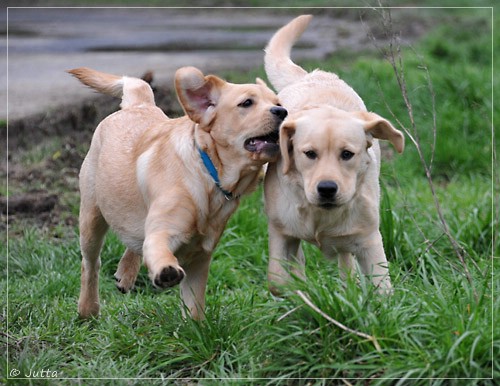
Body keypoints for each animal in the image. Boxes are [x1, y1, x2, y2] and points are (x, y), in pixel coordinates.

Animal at [71, 67, 290, 320]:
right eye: (246, 103)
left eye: (278, 102)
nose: (282, 111)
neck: (207, 173)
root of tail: (139, 104)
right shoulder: (164, 231)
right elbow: (157, 249)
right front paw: (166, 270)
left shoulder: (199, 257)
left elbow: (194, 307)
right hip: (91, 217)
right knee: (91, 263)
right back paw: (88, 309)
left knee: (135, 239)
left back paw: (126, 273)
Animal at [264, 14, 404, 292]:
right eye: (309, 154)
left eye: (347, 154)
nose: (327, 188)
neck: (320, 214)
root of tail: (313, 74)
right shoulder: (280, 231)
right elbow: (277, 280)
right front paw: (298, 293)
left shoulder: (369, 238)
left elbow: (382, 286)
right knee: (300, 260)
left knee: (344, 259)